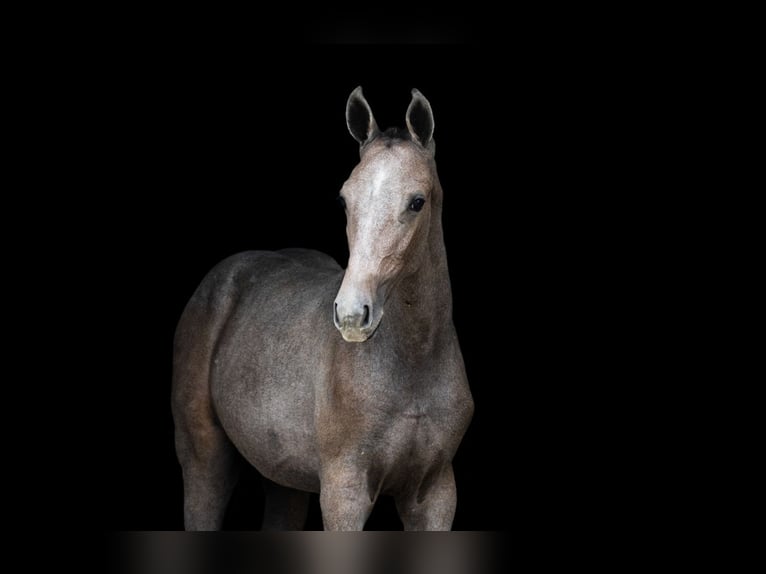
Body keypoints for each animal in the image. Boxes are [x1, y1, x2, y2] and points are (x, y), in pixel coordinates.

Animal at [172, 85, 474, 532]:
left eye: (417, 202)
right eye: (344, 200)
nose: (352, 314)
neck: (413, 363)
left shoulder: (436, 494)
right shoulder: (343, 492)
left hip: (284, 478)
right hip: (203, 457)